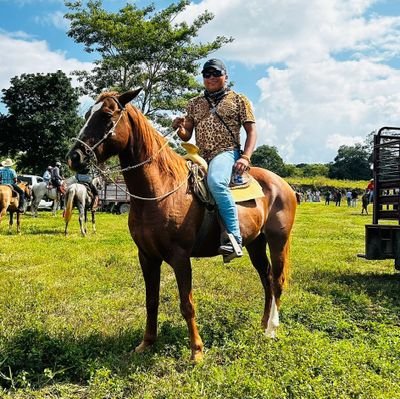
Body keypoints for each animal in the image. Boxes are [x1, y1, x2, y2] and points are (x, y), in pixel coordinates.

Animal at [66, 90, 296, 362]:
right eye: (87, 115)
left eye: (107, 115)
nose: (74, 157)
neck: (160, 189)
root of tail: (284, 185)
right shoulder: (147, 256)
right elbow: (151, 300)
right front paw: (147, 342)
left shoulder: (180, 257)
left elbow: (187, 304)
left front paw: (196, 351)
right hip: (255, 244)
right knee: (266, 278)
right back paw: (262, 324)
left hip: (278, 240)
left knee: (278, 281)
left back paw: (271, 330)